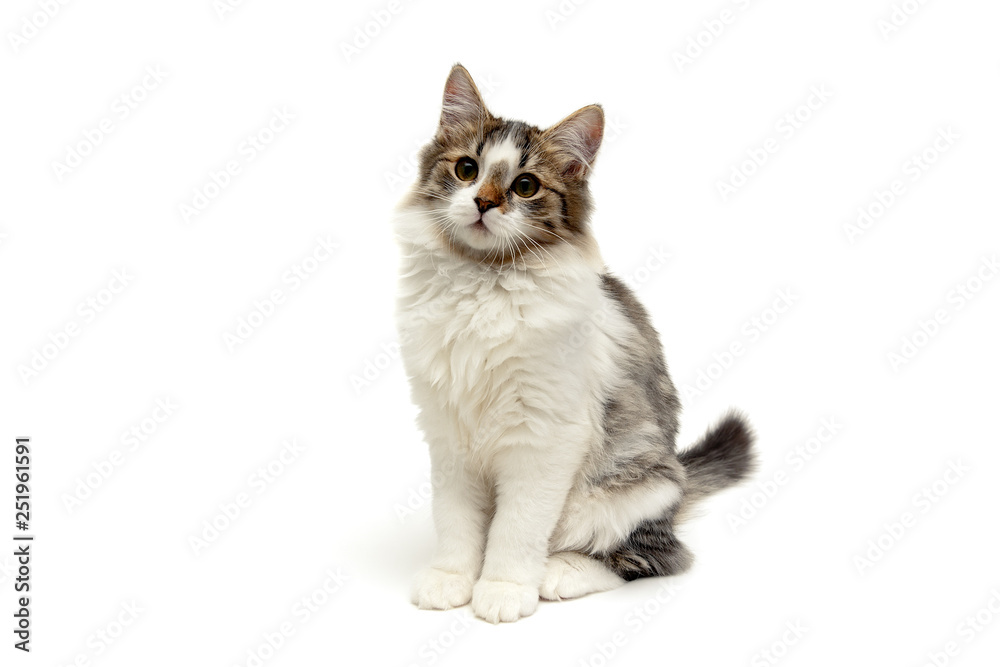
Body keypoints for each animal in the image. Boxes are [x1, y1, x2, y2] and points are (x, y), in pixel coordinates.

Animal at [394, 65, 752, 624]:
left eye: (525, 186)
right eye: (467, 169)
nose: (483, 202)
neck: (484, 282)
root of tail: (678, 478)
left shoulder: (544, 438)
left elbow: (517, 527)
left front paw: (502, 589)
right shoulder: (448, 433)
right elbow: (457, 521)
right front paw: (451, 578)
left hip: (634, 489)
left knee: (652, 557)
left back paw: (558, 572)